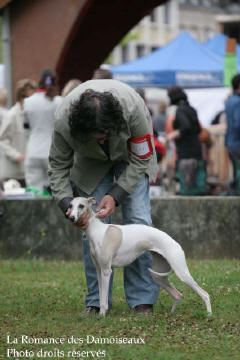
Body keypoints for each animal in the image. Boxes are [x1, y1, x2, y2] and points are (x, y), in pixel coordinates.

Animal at [69, 195, 212, 316]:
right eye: (70, 205)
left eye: (81, 206)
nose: (71, 217)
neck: (97, 231)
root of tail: (176, 243)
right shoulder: (99, 270)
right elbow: (100, 295)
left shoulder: (106, 271)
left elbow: (103, 299)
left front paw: (102, 315)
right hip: (158, 276)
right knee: (178, 295)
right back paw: (172, 313)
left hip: (181, 272)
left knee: (205, 294)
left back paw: (209, 314)